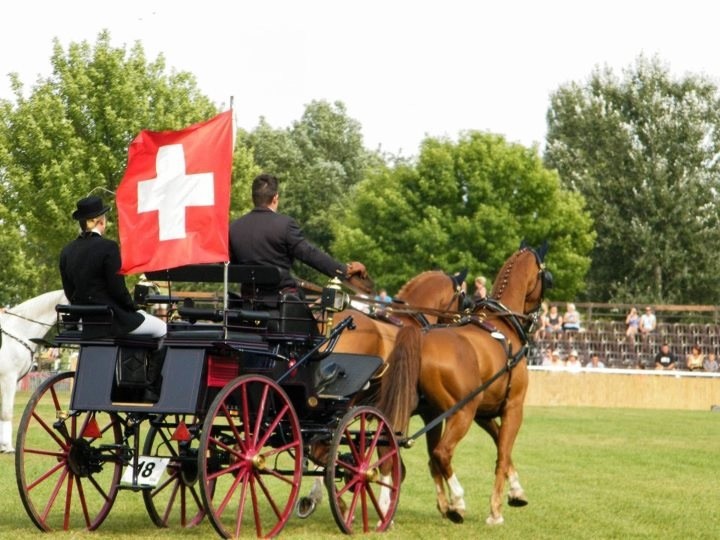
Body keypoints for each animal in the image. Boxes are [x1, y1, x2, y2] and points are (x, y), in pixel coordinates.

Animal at [376, 245, 552, 528]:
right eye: (547, 277)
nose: (538, 316)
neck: (502, 325)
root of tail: (420, 341)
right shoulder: (513, 407)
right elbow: (503, 453)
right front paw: (495, 511)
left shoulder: (484, 412)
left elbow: (501, 446)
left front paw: (516, 491)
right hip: (460, 413)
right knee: (441, 453)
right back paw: (457, 502)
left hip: (425, 412)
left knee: (392, 449)